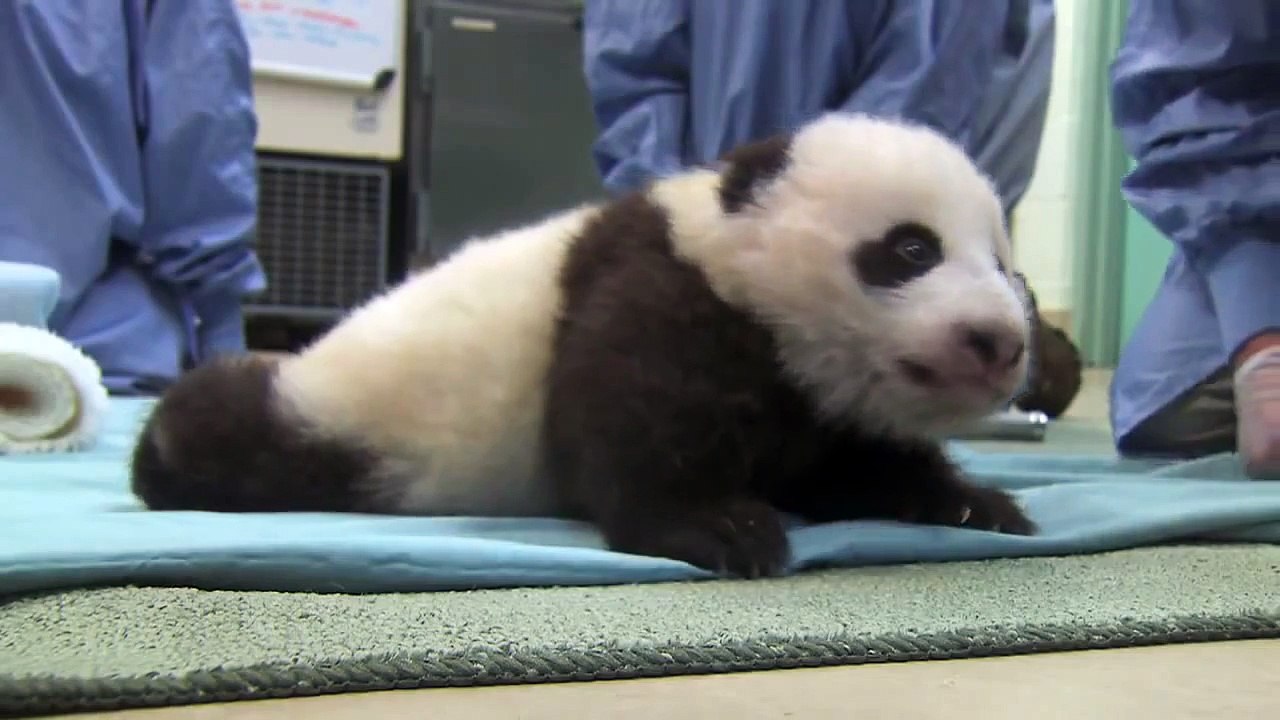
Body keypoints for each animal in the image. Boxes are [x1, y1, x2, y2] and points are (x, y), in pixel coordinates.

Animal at [130, 112, 1037, 579]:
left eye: (1004, 265)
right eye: (911, 249)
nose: (997, 343)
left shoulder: (812, 398)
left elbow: (845, 463)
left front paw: (971, 504)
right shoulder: (657, 289)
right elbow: (630, 422)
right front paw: (718, 527)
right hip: (347, 415)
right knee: (235, 425)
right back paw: (169, 444)